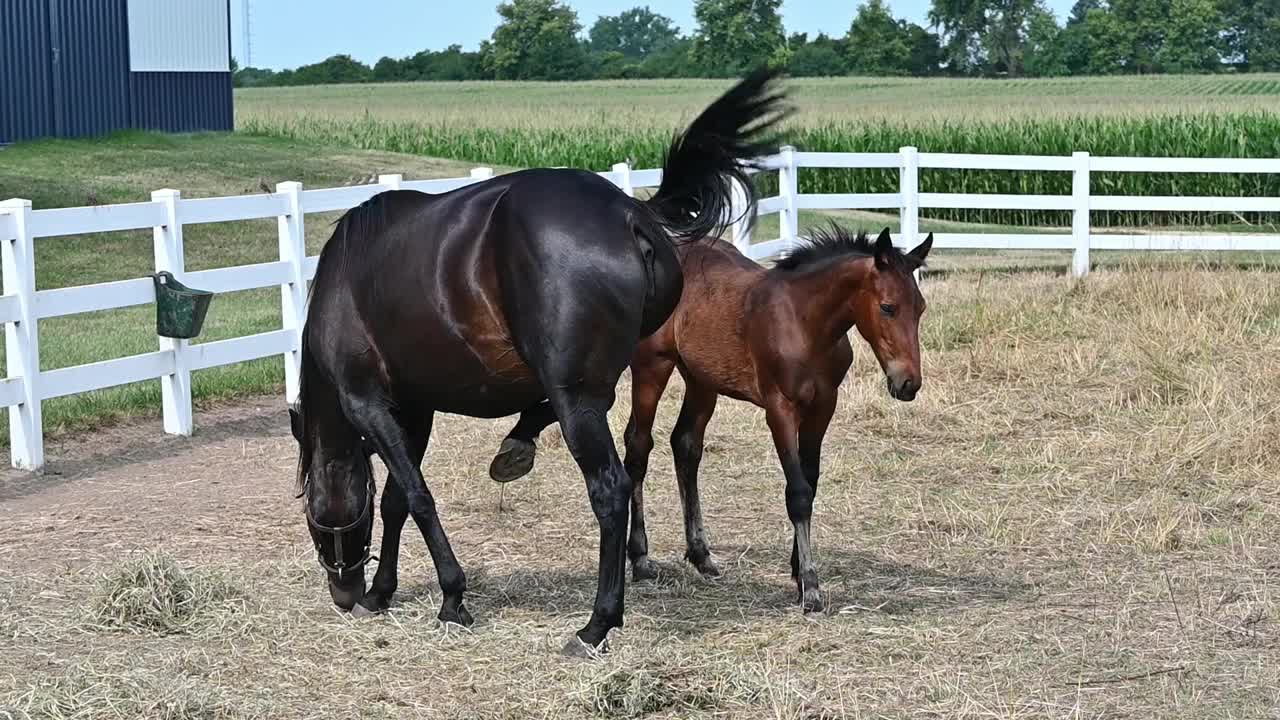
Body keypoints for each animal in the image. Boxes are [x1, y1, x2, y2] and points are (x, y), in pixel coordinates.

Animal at [488, 225, 931, 609]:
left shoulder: (823, 408)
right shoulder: (780, 410)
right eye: (888, 307)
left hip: (702, 380)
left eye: (921, 308)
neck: (803, 323)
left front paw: (796, 569)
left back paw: (700, 553)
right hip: (652, 367)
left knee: (686, 445)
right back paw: (641, 559)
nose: (908, 383)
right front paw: (810, 587)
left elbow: (811, 482)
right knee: (638, 448)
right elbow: (798, 492)